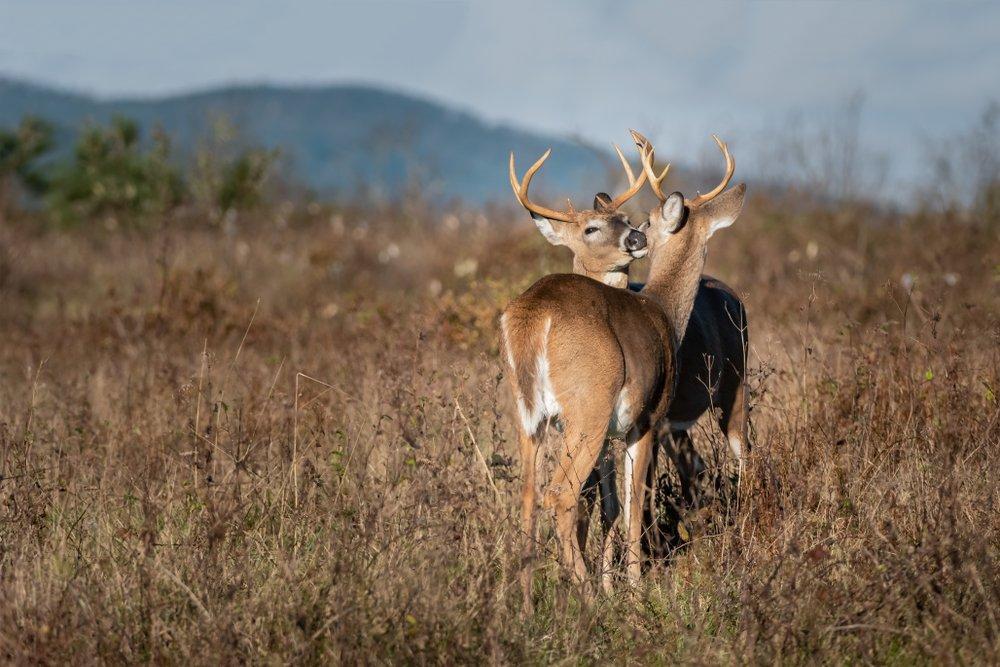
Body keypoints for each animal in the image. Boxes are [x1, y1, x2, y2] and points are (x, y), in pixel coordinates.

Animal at [498, 130, 744, 600]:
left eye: (634, 220)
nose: (636, 238)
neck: (663, 310)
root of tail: (536, 315)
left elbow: (613, 505)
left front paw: (617, 582)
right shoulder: (646, 418)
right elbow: (633, 504)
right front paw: (634, 588)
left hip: (528, 414)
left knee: (528, 495)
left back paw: (521, 601)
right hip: (589, 406)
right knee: (560, 494)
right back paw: (586, 595)